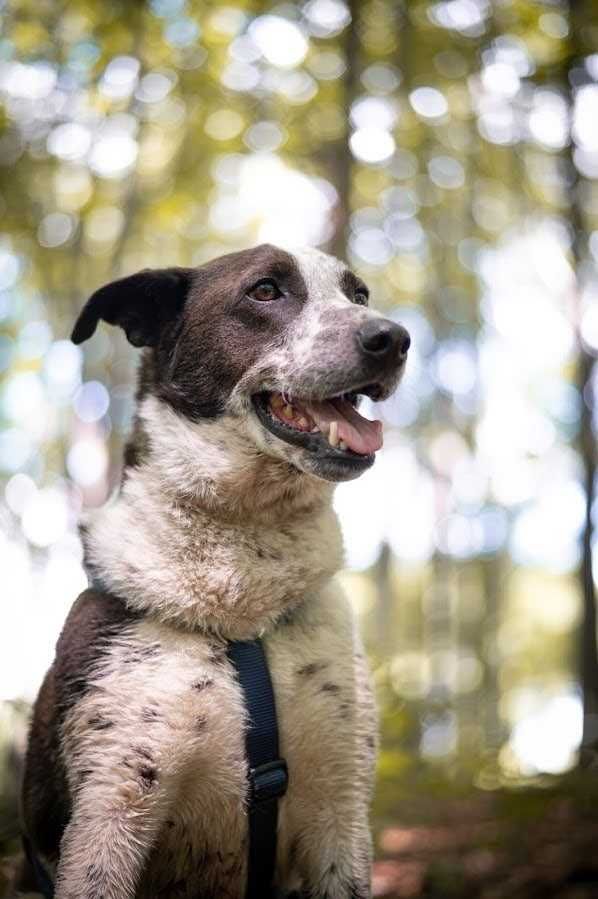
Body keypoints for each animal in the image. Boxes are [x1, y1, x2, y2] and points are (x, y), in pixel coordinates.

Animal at [21, 244, 410, 899]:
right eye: (265, 290)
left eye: (358, 295)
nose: (394, 337)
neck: (242, 610)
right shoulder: (109, 807)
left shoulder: (341, 805)